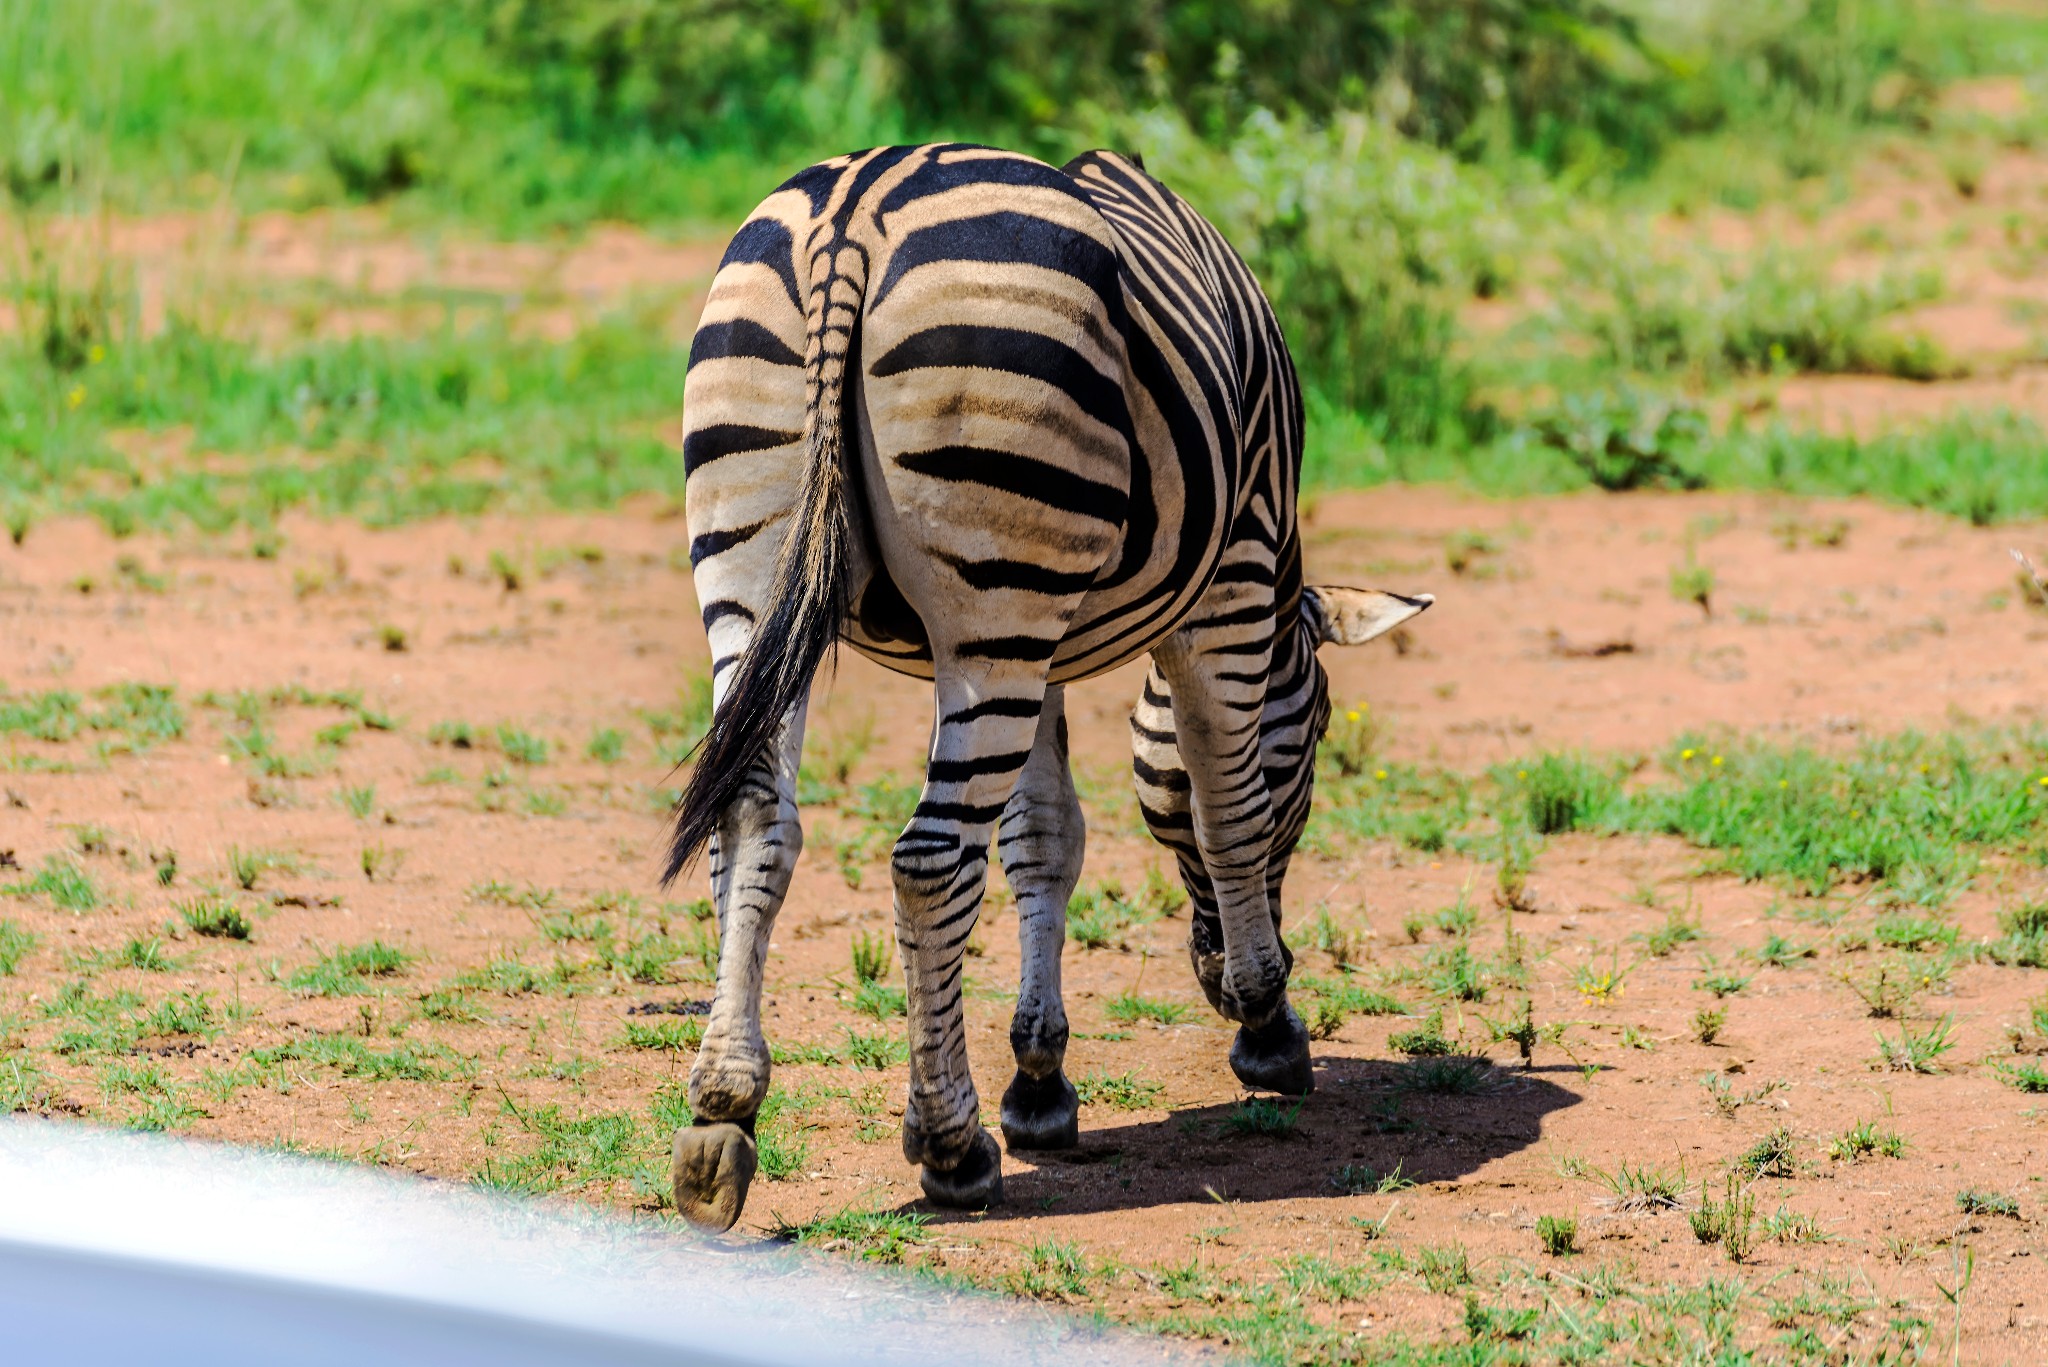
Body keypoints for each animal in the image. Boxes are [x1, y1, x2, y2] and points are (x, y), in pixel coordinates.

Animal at [663, 144, 1433, 1237]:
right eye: (1319, 739)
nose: (1210, 971)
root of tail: (856, 214)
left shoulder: (1046, 656)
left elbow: (1046, 838)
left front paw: (1040, 1080)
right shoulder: (1232, 579)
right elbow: (1228, 809)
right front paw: (1266, 1020)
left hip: (770, 567)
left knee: (753, 815)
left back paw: (722, 1111)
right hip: (996, 595)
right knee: (928, 861)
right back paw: (950, 1146)